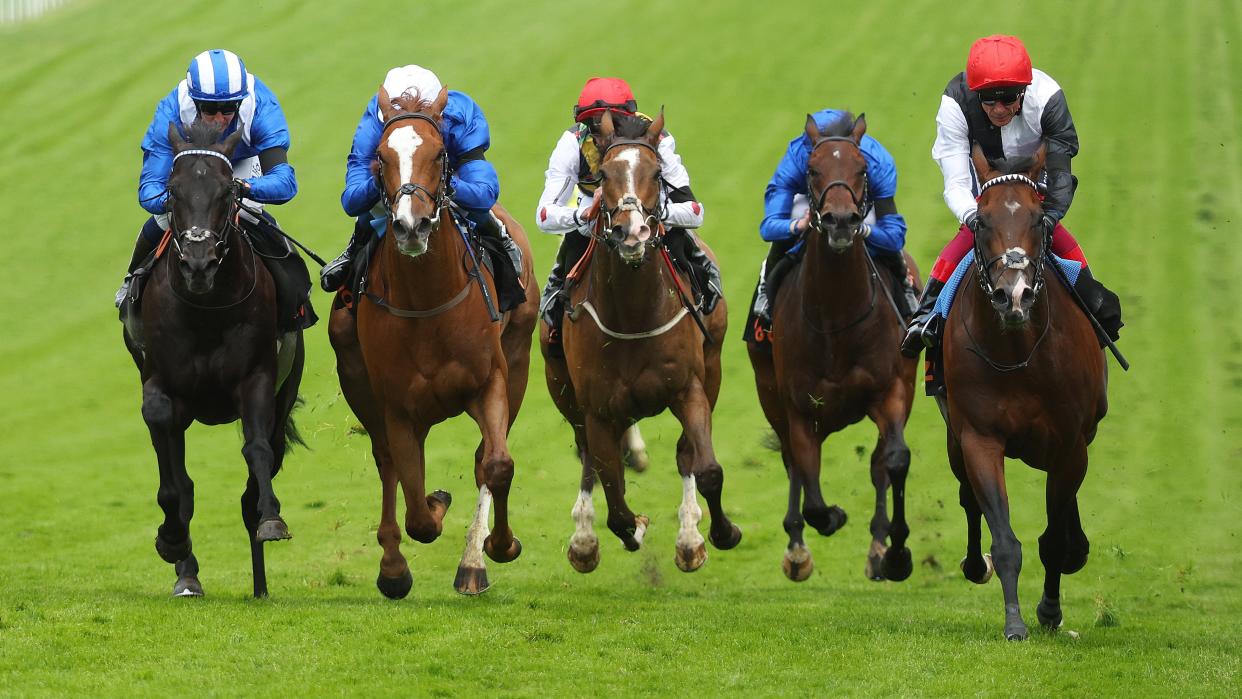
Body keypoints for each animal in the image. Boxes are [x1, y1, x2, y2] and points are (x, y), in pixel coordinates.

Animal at [121, 119, 305, 595]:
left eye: (227, 192)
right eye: (172, 190)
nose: (198, 263)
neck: (205, 307)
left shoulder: (257, 378)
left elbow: (257, 451)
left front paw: (272, 519)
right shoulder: (162, 387)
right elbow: (175, 485)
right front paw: (171, 542)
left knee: (255, 476)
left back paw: (260, 584)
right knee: (180, 480)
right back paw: (186, 573)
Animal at [330, 85, 539, 598]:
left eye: (440, 153)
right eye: (381, 157)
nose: (411, 225)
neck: (428, 302)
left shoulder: (491, 381)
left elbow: (496, 464)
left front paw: (499, 547)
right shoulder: (398, 408)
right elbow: (418, 514)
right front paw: (433, 505)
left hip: (520, 358)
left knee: (485, 457)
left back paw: (473, 564)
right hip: (359, 381)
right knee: (387, 464)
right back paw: (393, 567)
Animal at [539, 112, 740, 576]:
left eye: (656, 173)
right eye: (604, 176)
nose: (632, 233)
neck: (632, 314)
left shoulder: (691, 389)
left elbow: (706, 468)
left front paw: (717, 533)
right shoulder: (597, 409)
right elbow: (614, 500)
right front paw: (628, 529)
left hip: (714, 369)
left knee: (685, 454)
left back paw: (689, 536)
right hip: (563, 390)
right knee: (589, 460)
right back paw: (584, 539)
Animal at [745, 113, 924, 586]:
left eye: (862, 170)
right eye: (812, 170)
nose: (841, 220)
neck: (837, 319)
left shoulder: (891, 391)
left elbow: (894, 460)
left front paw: (896, 553)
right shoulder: (799, 405)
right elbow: (810, 488)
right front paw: (828, 520)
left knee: (878, 462)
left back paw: (879, 546)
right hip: (770, 392)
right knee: (794, 462)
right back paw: (796, 548)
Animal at [938, 145, 1107, 640]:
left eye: (1038, 219)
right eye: (981, 221)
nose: (1013, 295)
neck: (1019, 354)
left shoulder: (1070, 443)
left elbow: (1053, 539)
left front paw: (1050, 611)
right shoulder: (979, 438)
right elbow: (1004, 539)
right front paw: (1014, 622)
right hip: (955, 439)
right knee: (967, 497)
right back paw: (976, 565)